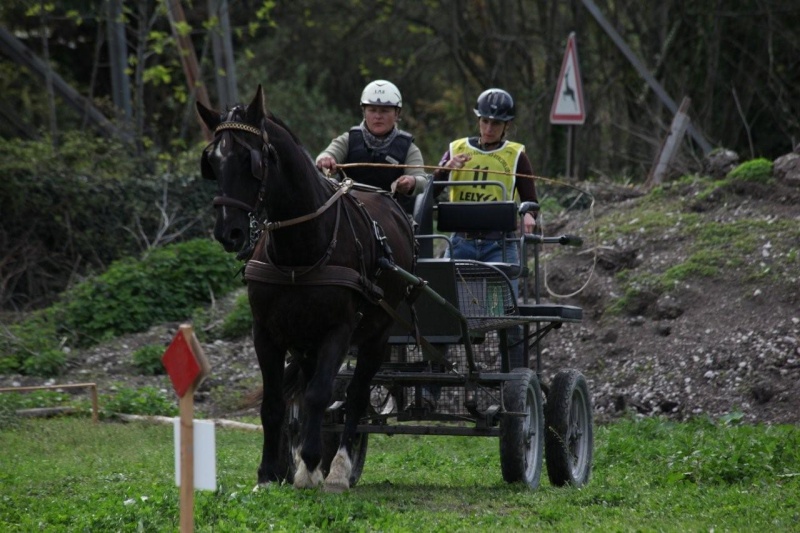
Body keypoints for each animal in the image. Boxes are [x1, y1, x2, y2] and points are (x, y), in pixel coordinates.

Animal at [197, 86, 416, 490]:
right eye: (213, 162)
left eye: (252, 159)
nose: (228, 231)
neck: (299, 250)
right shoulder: (266, 332)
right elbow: (274, 402)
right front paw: (270, 471)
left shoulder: (339, 330)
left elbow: (319, 395)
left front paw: (313, 465)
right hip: (305, 341)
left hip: (376, 335)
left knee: (356, 396)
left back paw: (339, 467)